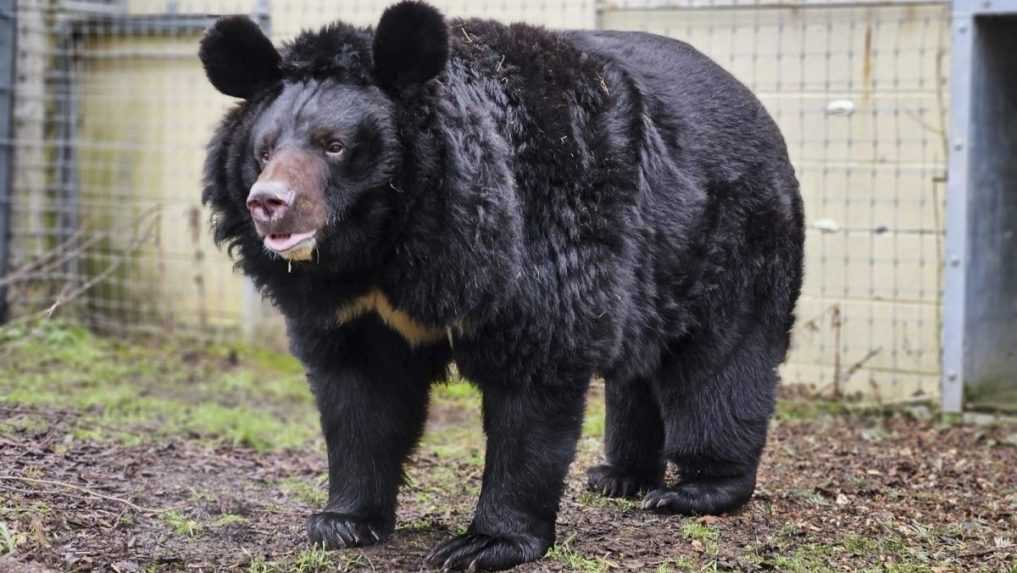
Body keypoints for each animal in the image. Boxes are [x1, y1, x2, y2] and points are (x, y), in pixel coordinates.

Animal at [198, 3, 801, 569]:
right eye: (264, 149)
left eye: (335, 145)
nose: (268, 203)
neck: (388, 247)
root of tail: (757, 106)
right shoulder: (353, 310)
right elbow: (360, 398)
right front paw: (341, 522)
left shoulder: (535, 245)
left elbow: (533, 387)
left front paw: (485, 543)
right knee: (640, 369)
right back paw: (619, 476)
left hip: (732, 240)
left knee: (719, 366)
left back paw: (697, 489)